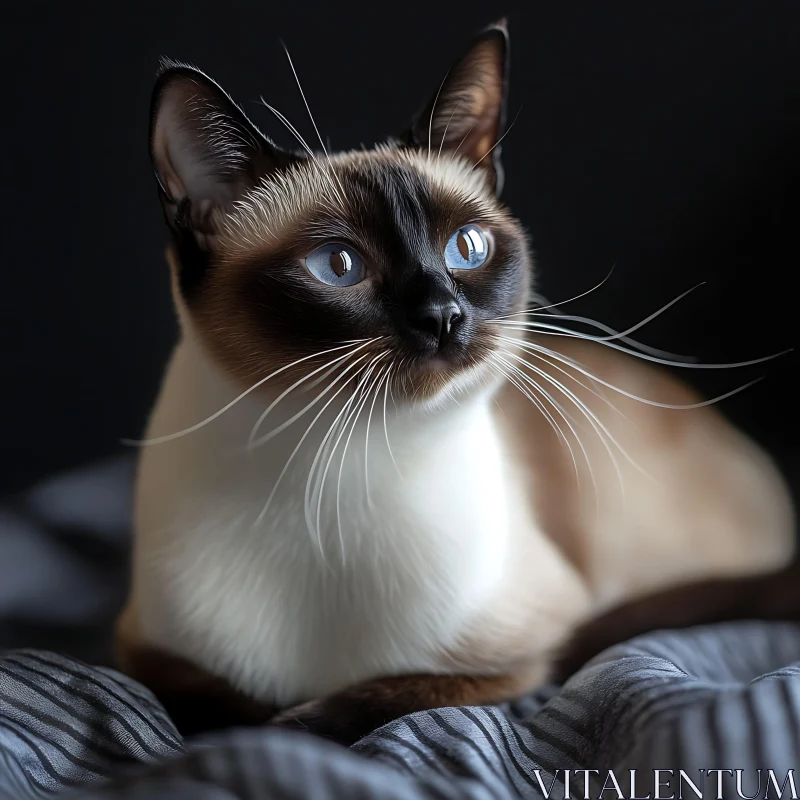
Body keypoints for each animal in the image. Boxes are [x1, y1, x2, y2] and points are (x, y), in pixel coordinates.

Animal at [115, 20, 796, 744]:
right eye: (338, 266)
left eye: (466, 248)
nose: (444, 316)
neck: (329, 474)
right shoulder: (142, 649)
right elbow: (216, 709)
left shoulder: (528, 652)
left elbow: (350, 708)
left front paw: (297, 716)